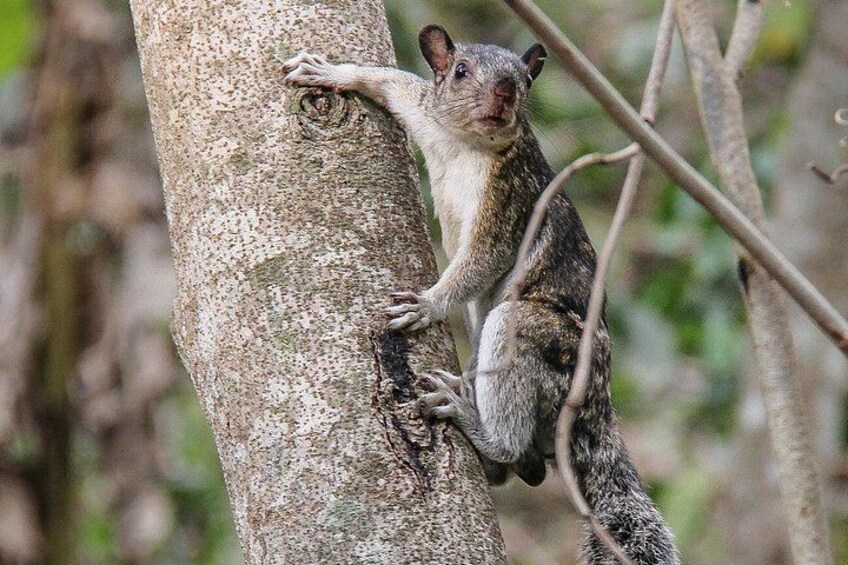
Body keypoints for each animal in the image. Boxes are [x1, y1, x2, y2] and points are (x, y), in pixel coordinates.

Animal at [283, 25, 680, 564]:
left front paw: (426, 305)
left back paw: (476, 423)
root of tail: (597, 404)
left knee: (512, 420)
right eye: (461, 70)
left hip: (531, 335)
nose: (505, 94)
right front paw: (330, 72)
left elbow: (481, 261)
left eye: (525, 81)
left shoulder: (509, 199)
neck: (465, 145)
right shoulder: (427, 115)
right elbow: (392, 82)